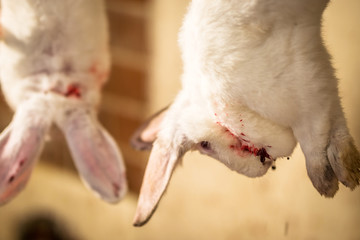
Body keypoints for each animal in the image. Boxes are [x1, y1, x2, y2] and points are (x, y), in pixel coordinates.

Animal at [131, 0, 360, 226]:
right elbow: (335, 124)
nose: (263, 167)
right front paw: (350, 173)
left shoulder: (307, 88)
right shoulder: (320, 74)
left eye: (204, 145)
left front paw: (326, 186)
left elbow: (314, 142)